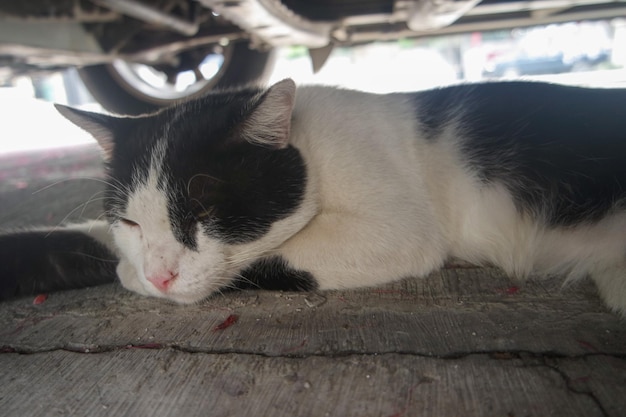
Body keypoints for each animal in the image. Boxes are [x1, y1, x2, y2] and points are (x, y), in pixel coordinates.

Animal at [1, 79, 624, 316]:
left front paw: (131, 277)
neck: (308, 143)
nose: (158, 275)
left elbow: (262, 262)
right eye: (130, 222)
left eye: (203, 211)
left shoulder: (395, 228)